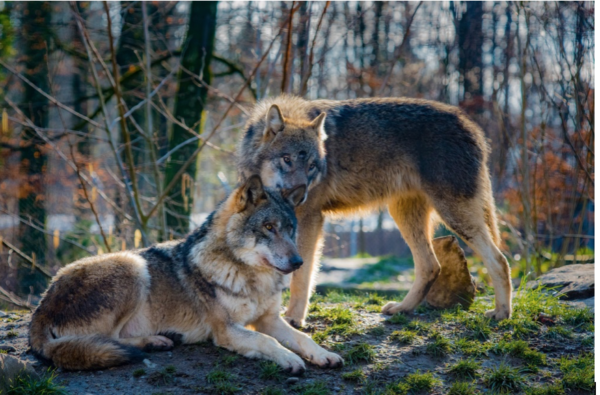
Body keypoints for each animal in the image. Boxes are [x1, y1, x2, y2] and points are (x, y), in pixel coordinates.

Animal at [29, 177, 342, 374]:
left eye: (290, 229)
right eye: (268, 227)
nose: (299, 262)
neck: (252, 278)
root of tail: (41, 307)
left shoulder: (269, 319)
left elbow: (302, 338)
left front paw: (323, 354)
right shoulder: (226, 330)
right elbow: (268, 342)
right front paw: (289, 359)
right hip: (132, 265)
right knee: (108, 340)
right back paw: (155, 341)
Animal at [239, 96, 510, 328]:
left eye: (312, 166)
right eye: (286, 159)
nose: (300, 194)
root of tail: (471, 126)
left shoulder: (309, 219)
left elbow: (301, 275)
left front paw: (294, 319)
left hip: (453, 215)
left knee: (499, 259)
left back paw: (502, 313)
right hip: (404, 215)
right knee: (431, 265)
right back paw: (402, 308)